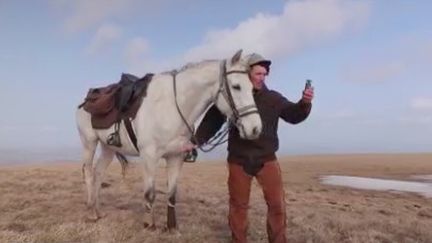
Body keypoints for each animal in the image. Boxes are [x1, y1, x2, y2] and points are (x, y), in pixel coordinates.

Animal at [75, 49, 262, 230]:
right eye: (236, 86)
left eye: (252, 87)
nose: (255, 128)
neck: (172, 106)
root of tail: (86, 101)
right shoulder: (149, 157)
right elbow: (150, 193)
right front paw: (149, 224)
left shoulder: (175, 157)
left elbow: (172, 194)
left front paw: (172, 227)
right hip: (89, 143)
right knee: (89, 173)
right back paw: (91, 212)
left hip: (108, 148)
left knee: (99, 173)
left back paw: (98, 210)